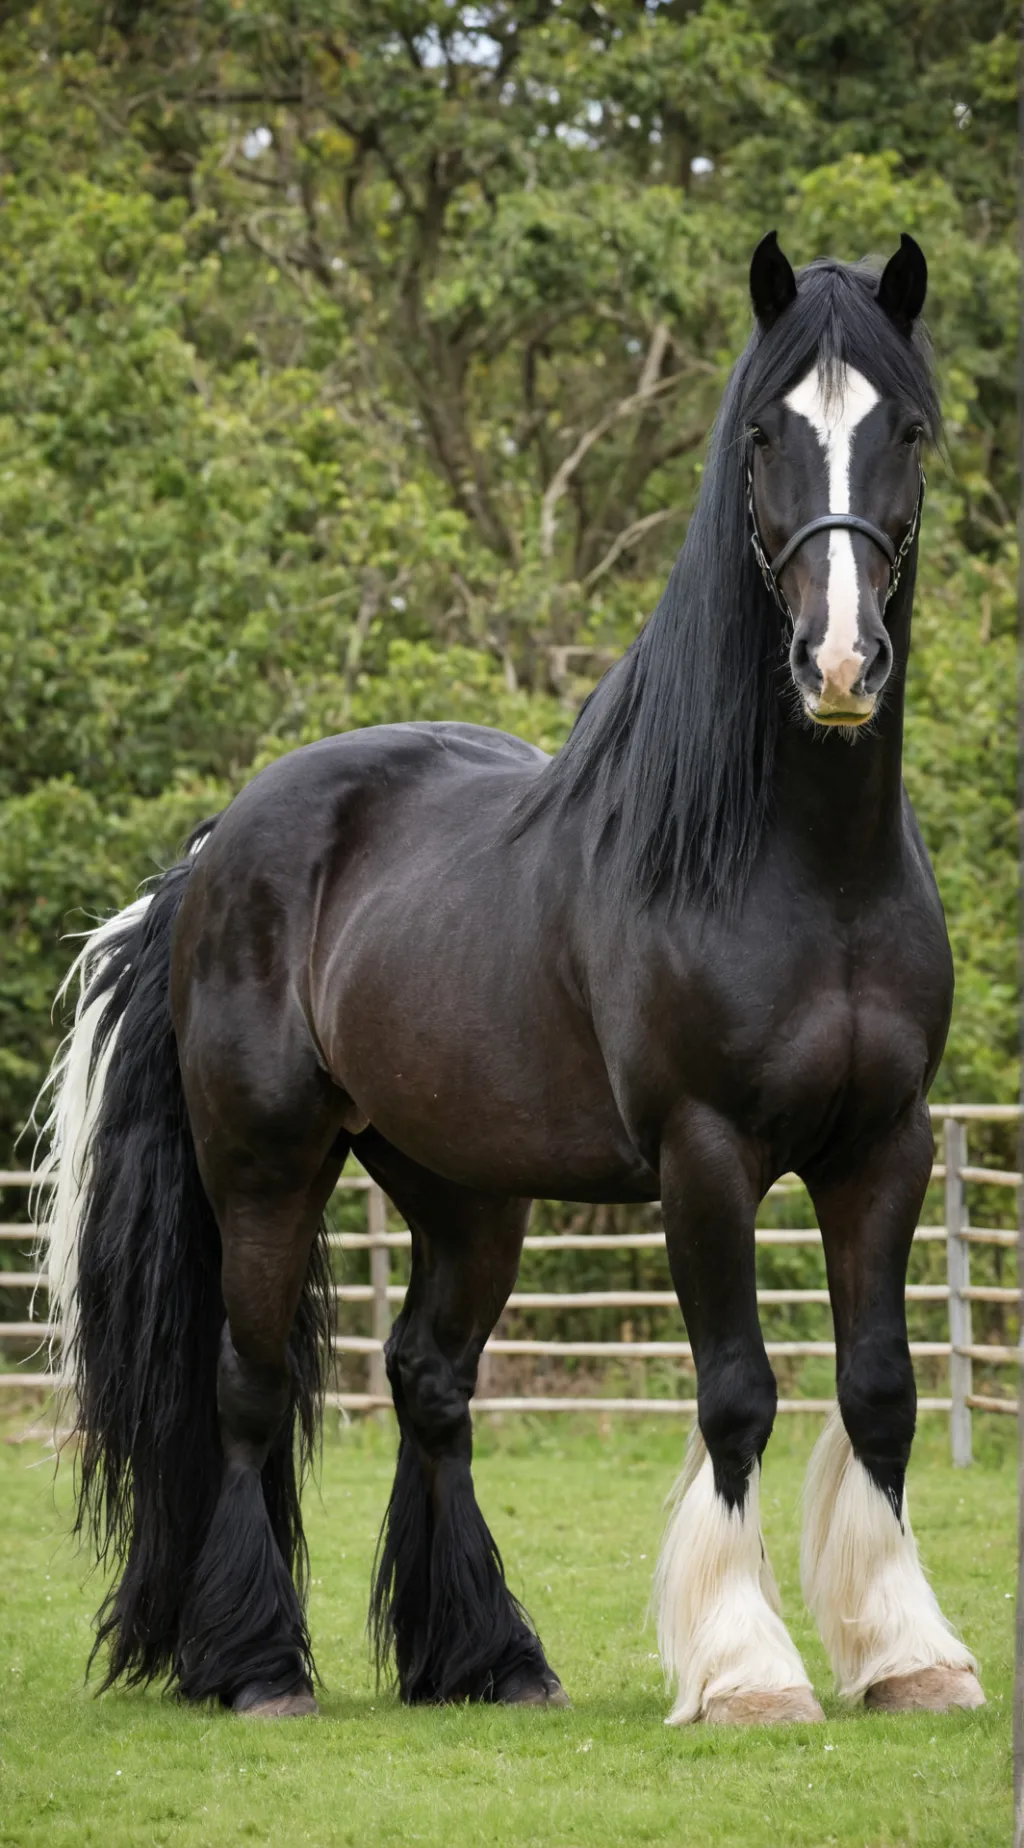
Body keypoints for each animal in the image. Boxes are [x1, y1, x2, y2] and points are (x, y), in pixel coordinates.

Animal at [38, 231, 985, 1727]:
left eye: (906, 429)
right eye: (765, 433)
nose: (839, 661)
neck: (800, 867)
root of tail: (222, 841)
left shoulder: (881, 1146)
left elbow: (881, 1388)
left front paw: (908, 1654)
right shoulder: (704, 1153)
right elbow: (736, 1392)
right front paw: (745, 1671)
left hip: (466, 1189)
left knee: (431, 1381)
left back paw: (484, 1659)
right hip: (265, 1164)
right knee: (246, 1384)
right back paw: (256, 1667)